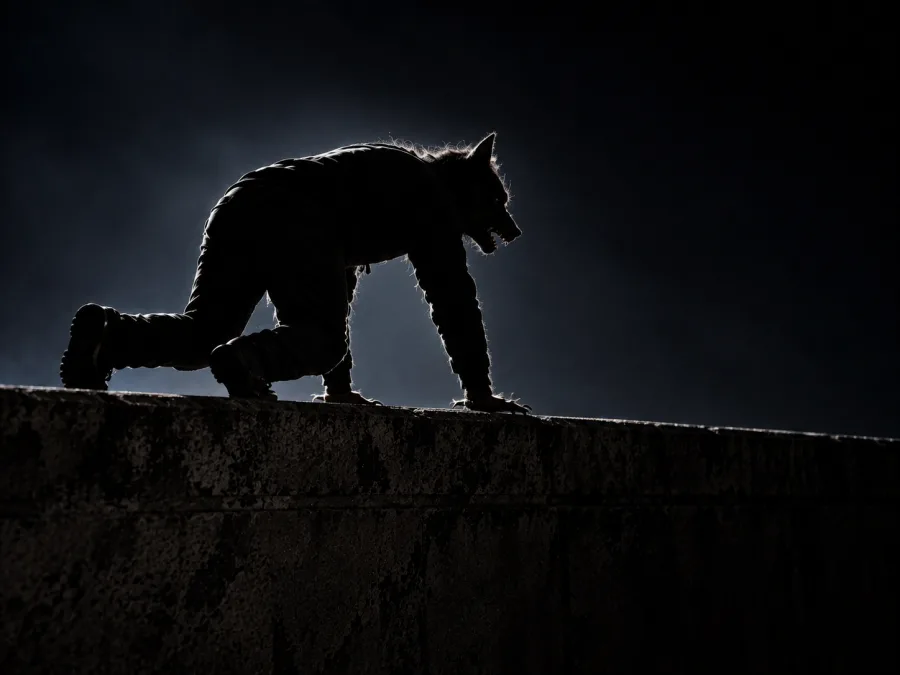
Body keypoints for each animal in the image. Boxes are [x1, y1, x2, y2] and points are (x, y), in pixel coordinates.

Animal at [59, 133, 531, 414]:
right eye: (497, 199)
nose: (516, 231)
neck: (435, 173)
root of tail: (243, 194)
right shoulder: (435, 226)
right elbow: (454, 303)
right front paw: (486, 400)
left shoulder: (343, 265)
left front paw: (341, 396)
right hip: (294, 242)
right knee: (321, 337)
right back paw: (241, 372)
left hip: (229, 259)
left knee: (201, 332)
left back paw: (87, 347)